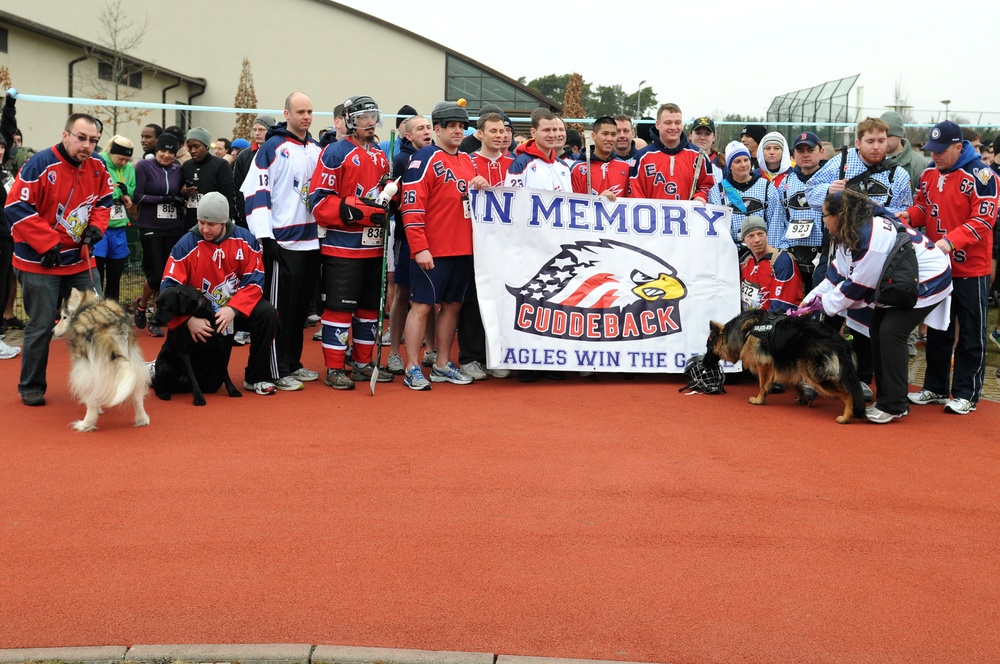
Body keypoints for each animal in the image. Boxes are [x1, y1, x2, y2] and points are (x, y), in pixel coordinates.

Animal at [54, 288, 150, 434]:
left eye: (64, 317)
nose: (53, 331)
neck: (87, 303)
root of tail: (108, 329)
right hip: (135, 362)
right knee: (137, 396)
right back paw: (142, 419)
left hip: (86, 368)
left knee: (91, 399)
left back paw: (85, 424)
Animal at [708, 308, 864, 422]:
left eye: (708, 347)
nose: (704, 363)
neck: (747, 330)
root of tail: (839, 342)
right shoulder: (791, 367)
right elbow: (795, 384)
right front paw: (801, 398)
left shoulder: (764, 365)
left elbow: (762, 385)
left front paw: (759, 400)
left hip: (816, 376)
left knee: (849, 394)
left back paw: (846, 417)